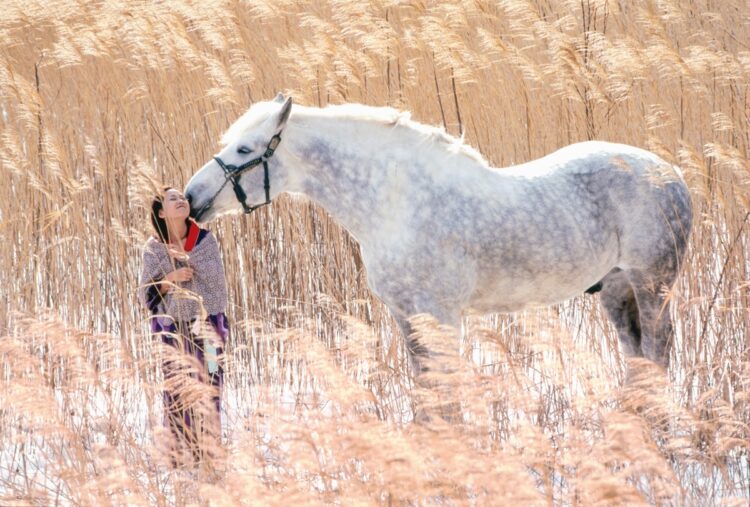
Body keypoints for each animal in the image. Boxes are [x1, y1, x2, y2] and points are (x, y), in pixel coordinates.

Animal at [187, 93, 692, 376]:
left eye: (245, 149)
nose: (192, 197)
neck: (396, 204)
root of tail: (671, 173)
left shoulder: (442, 315)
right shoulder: (406, 316)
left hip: (652, 285)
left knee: (658, 349)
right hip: (616, 290)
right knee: (637, 354)